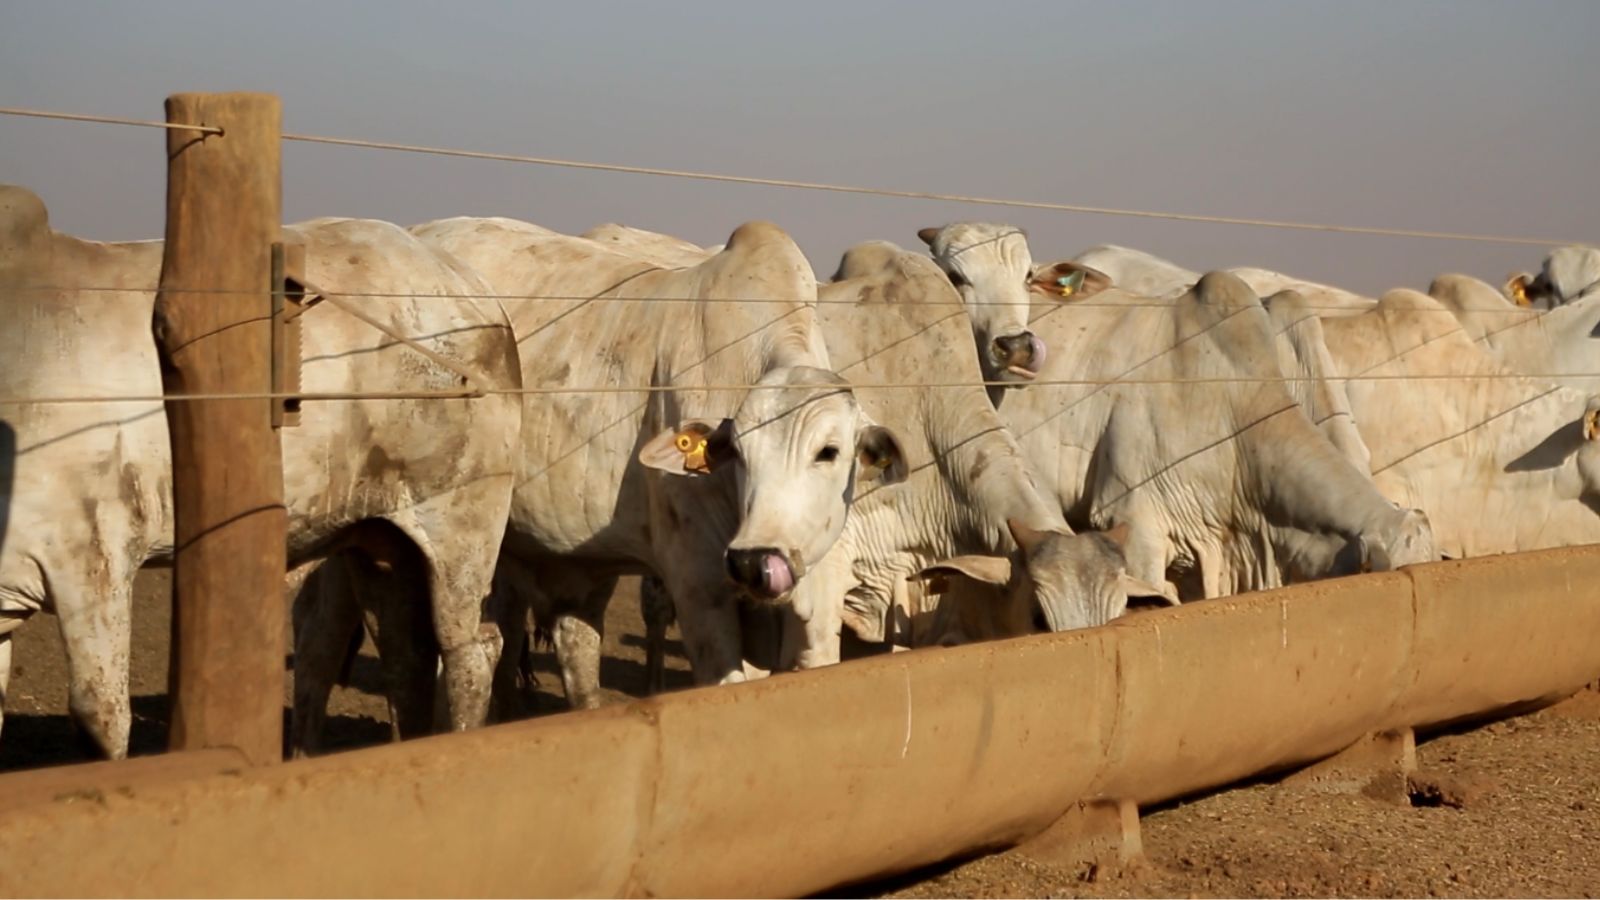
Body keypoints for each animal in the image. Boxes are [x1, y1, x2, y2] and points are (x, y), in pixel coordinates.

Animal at [0, 184, 524, 755]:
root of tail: (474, 290)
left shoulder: (94, 554)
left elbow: (99, 714)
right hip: (383, 542)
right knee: (406, 659)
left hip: (462, 525)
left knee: (472, 648)